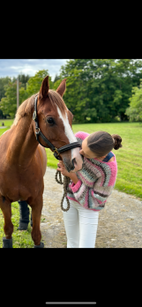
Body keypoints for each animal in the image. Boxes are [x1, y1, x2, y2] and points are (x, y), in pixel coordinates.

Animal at [0, 76, 82, 248]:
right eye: (50, 120)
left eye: (70, 117)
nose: (77, 160)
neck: (16, 162)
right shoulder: (3, 200)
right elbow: (8, 230)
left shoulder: (38, 201)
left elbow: (36, 235)